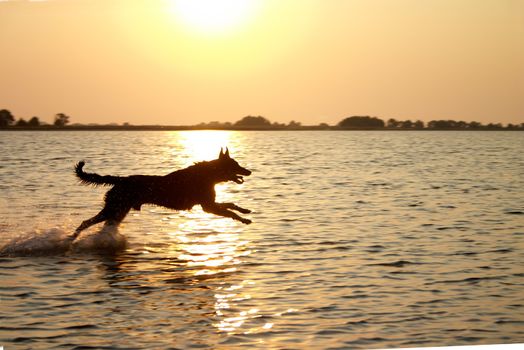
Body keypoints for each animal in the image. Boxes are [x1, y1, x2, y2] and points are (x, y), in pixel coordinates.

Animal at [73, 148, 252, 238]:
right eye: (235, 164)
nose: (249, 171)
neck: (209, 175)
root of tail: (121, 180)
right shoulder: (208, 207)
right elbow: (230, 212)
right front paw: (243, 219)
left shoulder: (209, 204)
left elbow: (231, 205)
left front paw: (245, 211)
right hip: (113, 209)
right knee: (85, 222)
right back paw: (72, 239)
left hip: (118, 212)